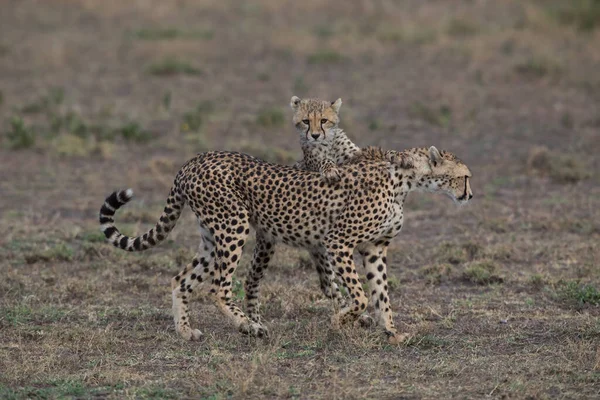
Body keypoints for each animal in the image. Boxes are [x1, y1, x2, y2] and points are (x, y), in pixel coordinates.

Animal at [99, 146, 474, 344]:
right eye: (465, 176)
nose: (470, 195)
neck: (405, 180)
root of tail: (195, 160)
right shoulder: (337, 242)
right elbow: (361, 296)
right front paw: (341, 321)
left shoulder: (374, 249)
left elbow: (382, 294)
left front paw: (393, 332)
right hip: (233, 226)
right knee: (219, 287)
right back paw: (249, 325)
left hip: (211, 237)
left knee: (180, 280)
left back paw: (186, 331)